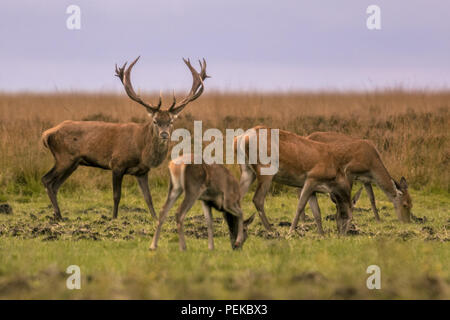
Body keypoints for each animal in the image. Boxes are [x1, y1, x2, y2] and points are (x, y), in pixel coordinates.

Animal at [40, 56, 209, 220]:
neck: (141, 150)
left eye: (171, 121)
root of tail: (46, 135)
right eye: (155, 121)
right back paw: (58, 215)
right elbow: (116, 195)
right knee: (46, 180)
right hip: (64, 157)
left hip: (73, 163)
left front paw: (155, 218)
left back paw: (58, 215)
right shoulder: (117, 164)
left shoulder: (142, 172)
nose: (164, 134)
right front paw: (114, 218)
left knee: (55, 185)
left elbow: (148, 197)